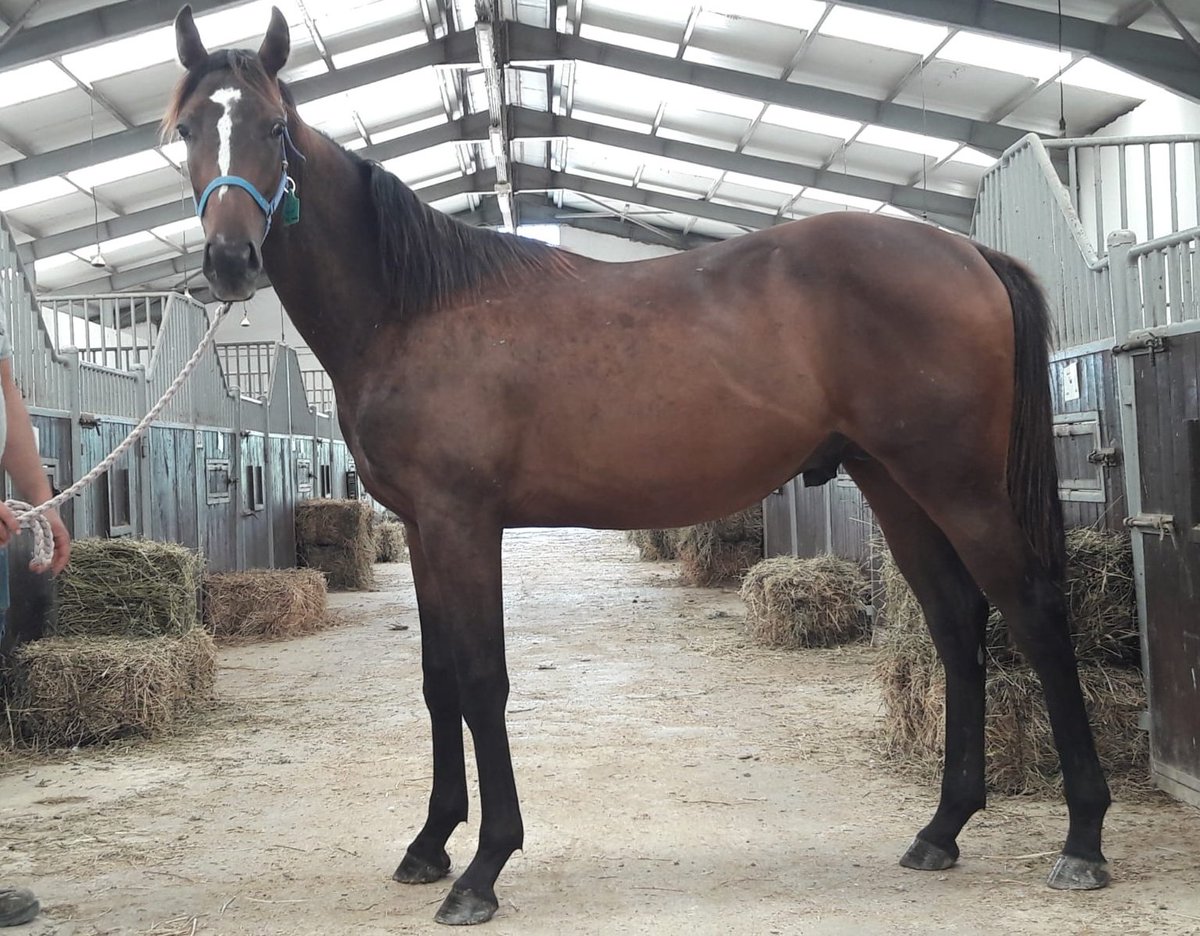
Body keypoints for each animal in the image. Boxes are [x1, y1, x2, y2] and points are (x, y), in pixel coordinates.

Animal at [164, 5, 1112, 924]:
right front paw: (431, 843)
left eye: (275, 128)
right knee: (956, 622)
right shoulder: (424, 531)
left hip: (957, 484)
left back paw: (1083, 841)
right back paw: (941, 828)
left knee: (1032, 609)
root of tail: (968, 252)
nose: (229, 261)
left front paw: (483, 868)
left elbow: (482, 680)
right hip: (894, 483)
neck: (416, 308)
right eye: (187, 131)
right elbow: (439, 683)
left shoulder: (464, 524)